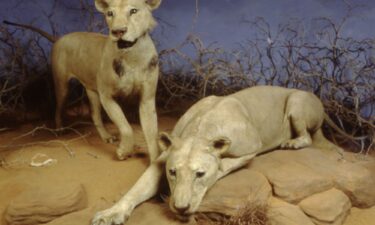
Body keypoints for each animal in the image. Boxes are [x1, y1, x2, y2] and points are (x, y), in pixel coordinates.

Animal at [3, 0, 162, 162]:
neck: (133, 56)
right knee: (58, 108)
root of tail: (59, 38)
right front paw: (124, 151)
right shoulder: (106, 96)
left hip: (91, 90)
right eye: (110, 13)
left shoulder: (147, 98)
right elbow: (125, 126)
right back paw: (60, 130)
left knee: (94, 114)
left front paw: (156, 162)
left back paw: (106, 137)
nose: (118, 31)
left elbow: (152, 133)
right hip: (62, 85)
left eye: (134, 11)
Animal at [92, 85, 346, 224]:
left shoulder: (252, 147)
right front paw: (110, 214)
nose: (181, 207)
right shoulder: (163, 159)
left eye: (200, 174)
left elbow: (224, 165)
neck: (200, 130)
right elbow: (136, 189)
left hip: (296, 100)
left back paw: (291, 143)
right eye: (173, 173)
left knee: (308, 137)